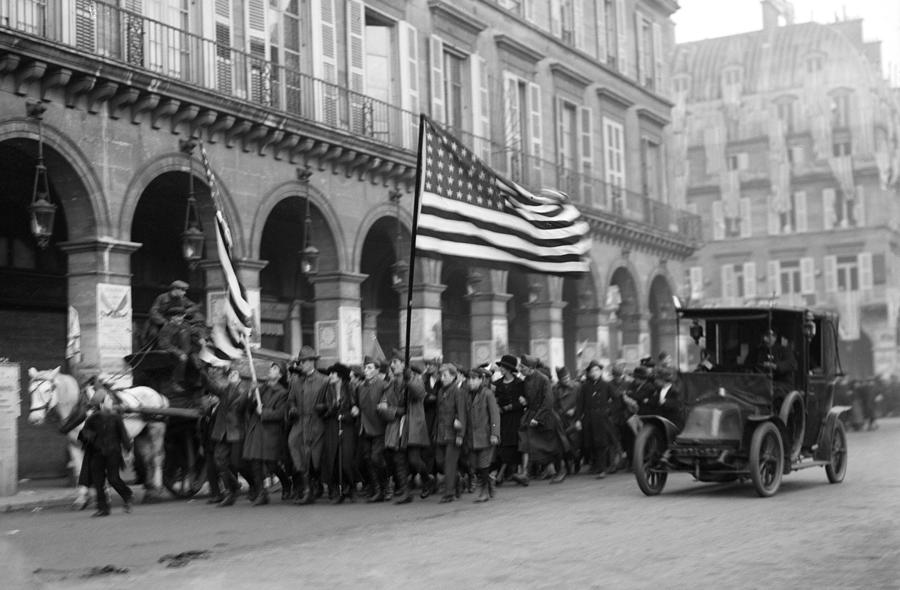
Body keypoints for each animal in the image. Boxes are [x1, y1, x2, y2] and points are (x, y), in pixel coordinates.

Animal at [28, 368, 170, 506]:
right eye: (31, 390)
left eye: (47, 390)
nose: (34, 419)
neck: (81, 410)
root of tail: (157, 394)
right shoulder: (74, 445)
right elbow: (79, 469)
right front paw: (82, 498)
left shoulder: (98, 444)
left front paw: (104, 495)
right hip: (142, 433)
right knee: (148, 458)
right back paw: (149, 489)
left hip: (156, 428)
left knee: (157, 456)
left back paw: (157, 486)